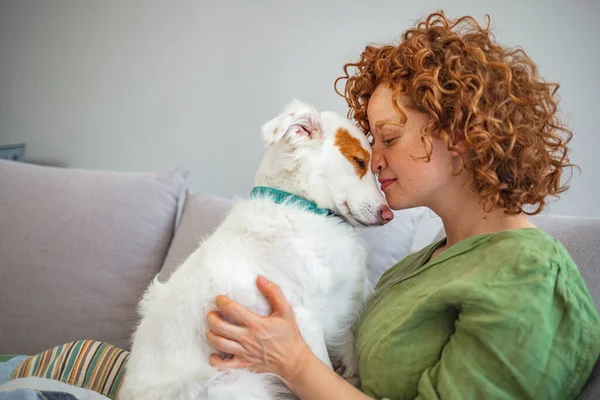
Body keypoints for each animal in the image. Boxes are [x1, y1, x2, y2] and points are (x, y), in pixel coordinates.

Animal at [120, 100, 394, 400]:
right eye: (359, 161)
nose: (388, 214)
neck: (304, 207)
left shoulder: (341, 307)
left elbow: (349, 355)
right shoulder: (306, 318)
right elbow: (324, 367)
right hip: (236, 384)